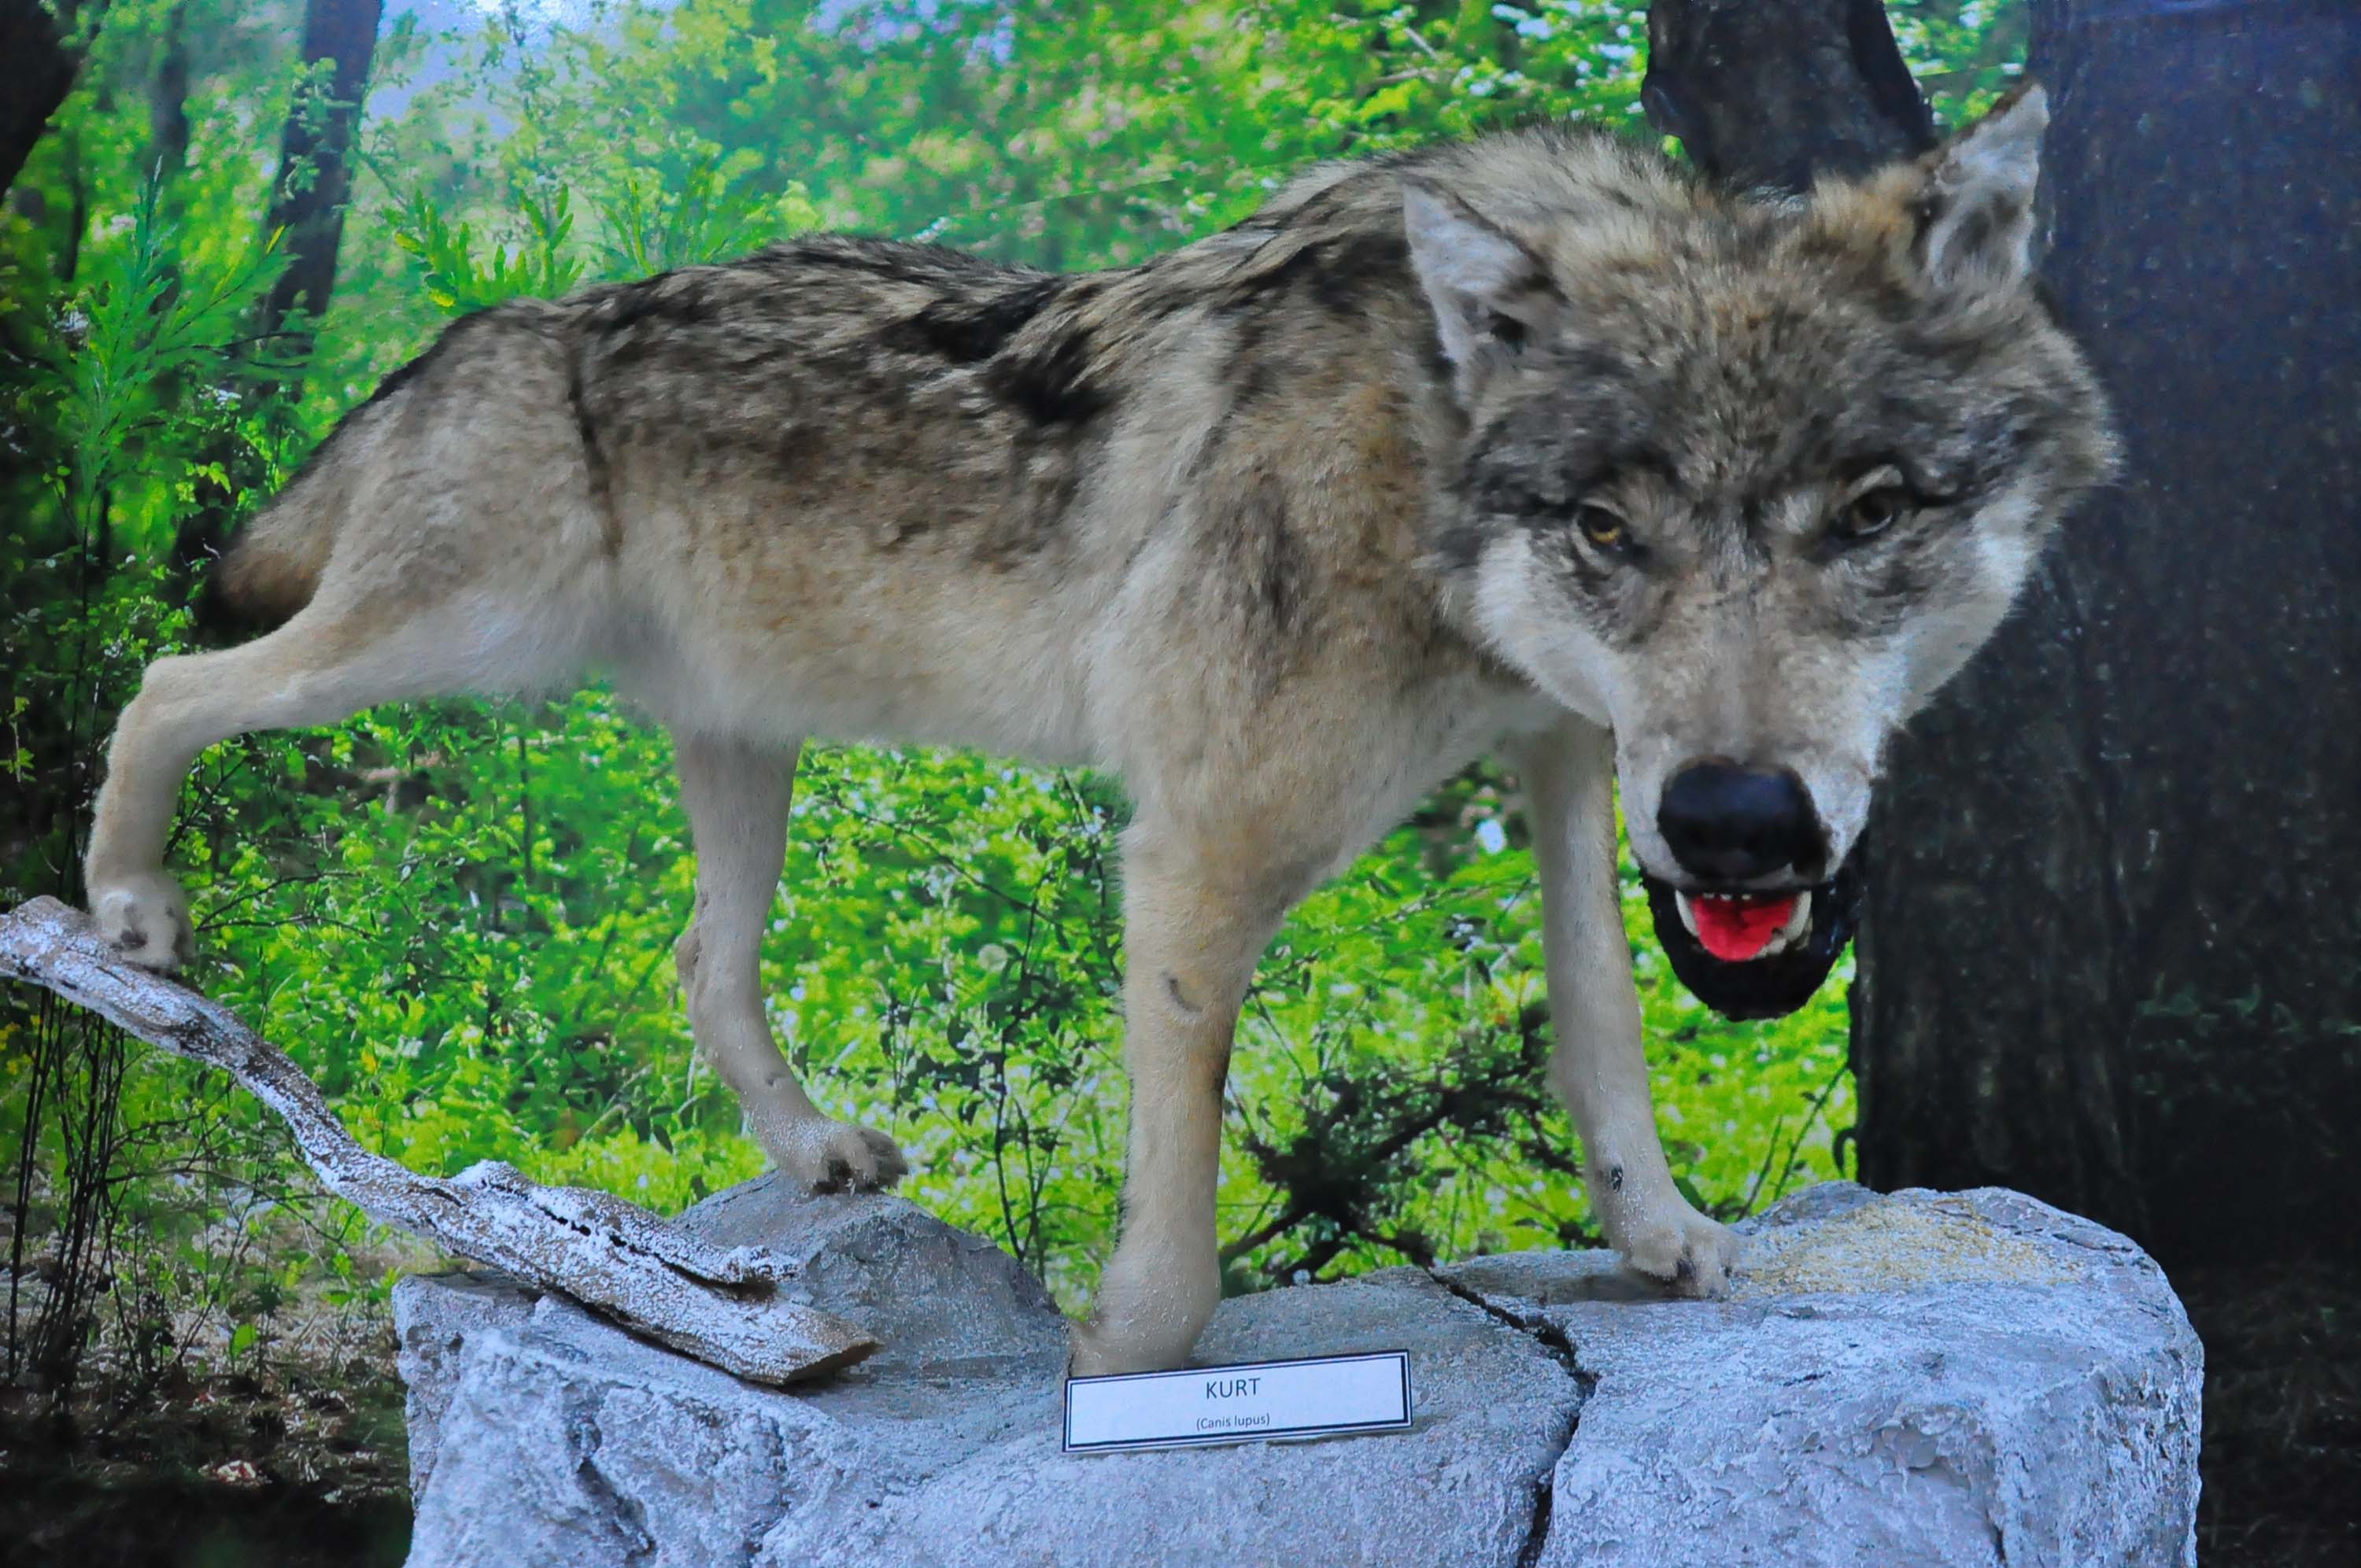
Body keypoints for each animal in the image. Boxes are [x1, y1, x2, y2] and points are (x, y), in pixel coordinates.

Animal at [87, 85, 2125, 1369]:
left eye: (1869, 509)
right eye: (1610, 529)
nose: (1739, 827)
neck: (1416, 446)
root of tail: (483, 322)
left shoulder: (1566, 759)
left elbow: (1603, 1020)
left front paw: (1659, 1234)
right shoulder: (1200, 842)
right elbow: (1184, 1172)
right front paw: (1118, 1356)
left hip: (737, 749)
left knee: (694, 960)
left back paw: (815, 1156)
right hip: (445, 645)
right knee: (163, 682)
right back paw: (123, 915)